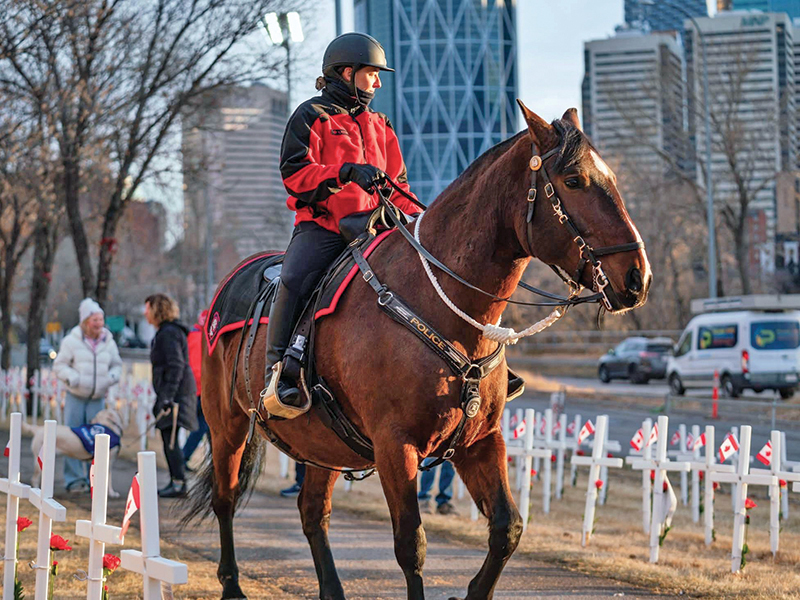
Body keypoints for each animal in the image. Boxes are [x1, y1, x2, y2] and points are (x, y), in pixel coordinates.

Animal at [185, 101, 652, 600]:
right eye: (574, 180)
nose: (637, 278)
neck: (440, 304)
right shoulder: (396, 446)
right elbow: (411, 545)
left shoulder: (480, 441)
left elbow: (507, 529)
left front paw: (475, 590)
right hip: (227, 425)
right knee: (226, 499)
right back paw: (232, 584)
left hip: (322, 445)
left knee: (312, 515)